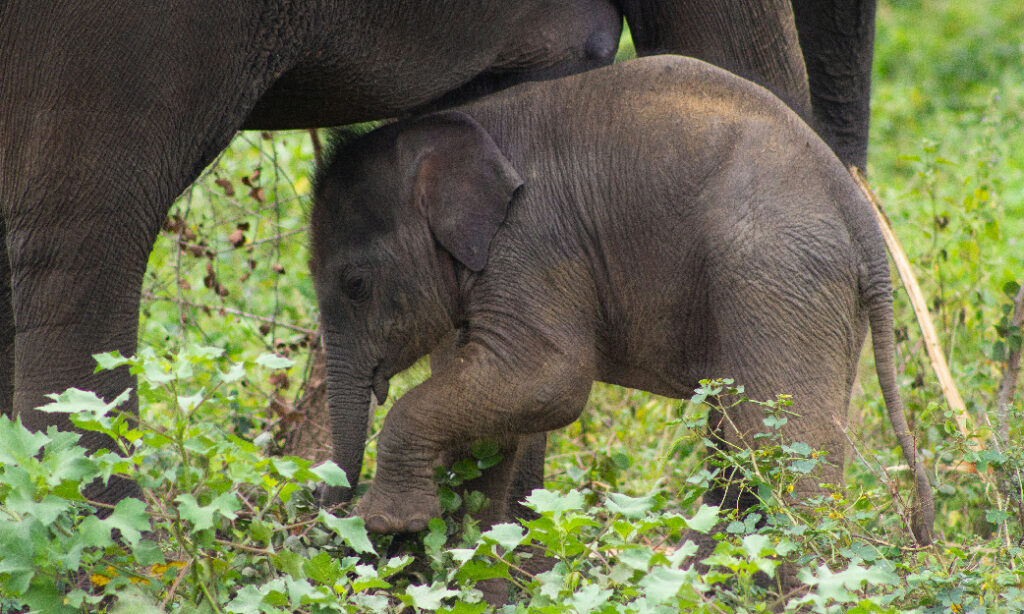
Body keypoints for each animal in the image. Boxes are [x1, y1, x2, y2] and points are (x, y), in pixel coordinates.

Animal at [308, 56, 934, 548]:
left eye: (356, 284)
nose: (329, 518)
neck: (453, 128)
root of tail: (859, 209)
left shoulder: (533, 242)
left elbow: (548, 379)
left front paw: (391, 525)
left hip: (777, 271)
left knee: (773, 442)